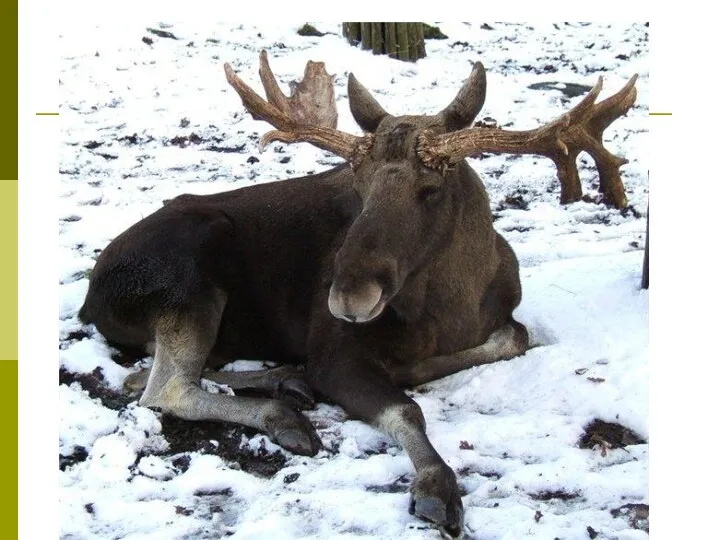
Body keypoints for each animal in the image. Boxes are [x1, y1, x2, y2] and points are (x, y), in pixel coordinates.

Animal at [79, 49, 636, 536]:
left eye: (431, 189)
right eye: (357, 183)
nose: (347, 295)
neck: (453, 308)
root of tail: (89, 300)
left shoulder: (501, 320)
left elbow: (514, 336)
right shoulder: (333, 350)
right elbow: (406, 409)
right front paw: (436, 486)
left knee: (148, 377)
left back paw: (286, 381)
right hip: (193, 271)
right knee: (164, 388)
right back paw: (282, 410)